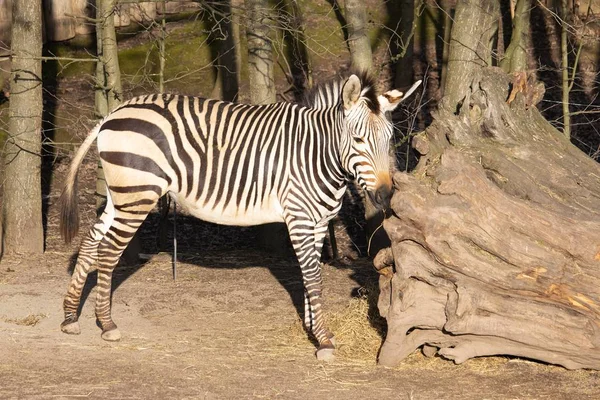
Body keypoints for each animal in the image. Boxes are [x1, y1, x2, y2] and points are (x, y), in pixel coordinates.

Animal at [58, 72, 420, 362]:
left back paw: (70, 318)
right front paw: (324, 340)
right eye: (358, 139)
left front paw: (313, 328)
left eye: (388, 140)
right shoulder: (300, 219)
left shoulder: (317, 224)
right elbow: (313, 277)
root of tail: (115, 111)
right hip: (137, 194)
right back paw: (106, 324)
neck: (318, 156)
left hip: (121, 194)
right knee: (107, 251)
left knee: (90, 243)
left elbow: (311, 276)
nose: (385, 196)